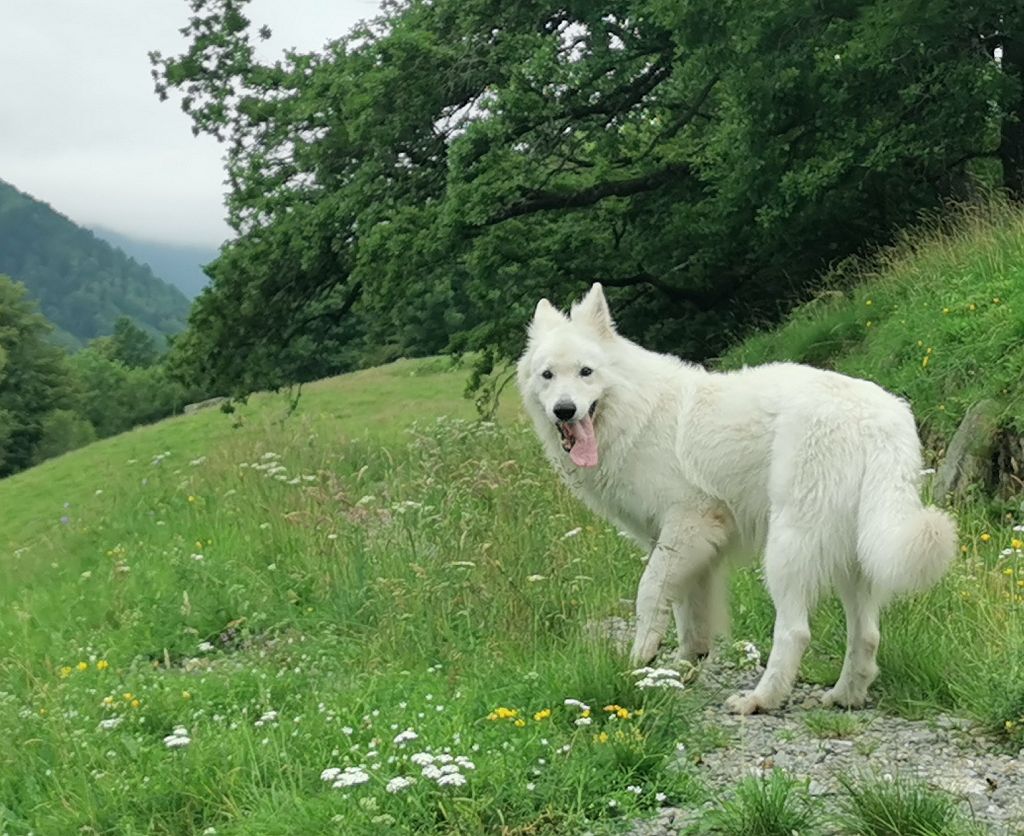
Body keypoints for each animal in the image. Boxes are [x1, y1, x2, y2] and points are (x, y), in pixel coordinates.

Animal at [520, 284, 958, 713]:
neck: (635, 410)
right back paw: (845, 695)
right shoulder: (688, 547)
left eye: (586, 372)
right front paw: (682, 669)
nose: (564, 410)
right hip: (852, 557)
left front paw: (642, 658)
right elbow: (688, 614)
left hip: (787, 548)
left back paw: (761, 699)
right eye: (548, 375)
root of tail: (878, 419)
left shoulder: (687, 525)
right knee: (866, 633)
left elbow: (649, 592)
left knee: (795, 631)